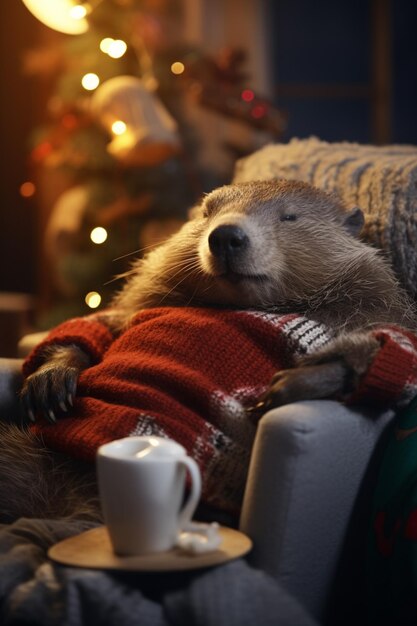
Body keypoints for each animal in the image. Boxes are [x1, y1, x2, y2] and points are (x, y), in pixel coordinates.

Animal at [0, 178, 416, 520]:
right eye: (207, 211)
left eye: (290, 216)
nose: (227, 236)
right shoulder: (142, 304)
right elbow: (104, 324)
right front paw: (51, 383)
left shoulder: (374, 306)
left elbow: (396, 349)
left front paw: (286, 386)